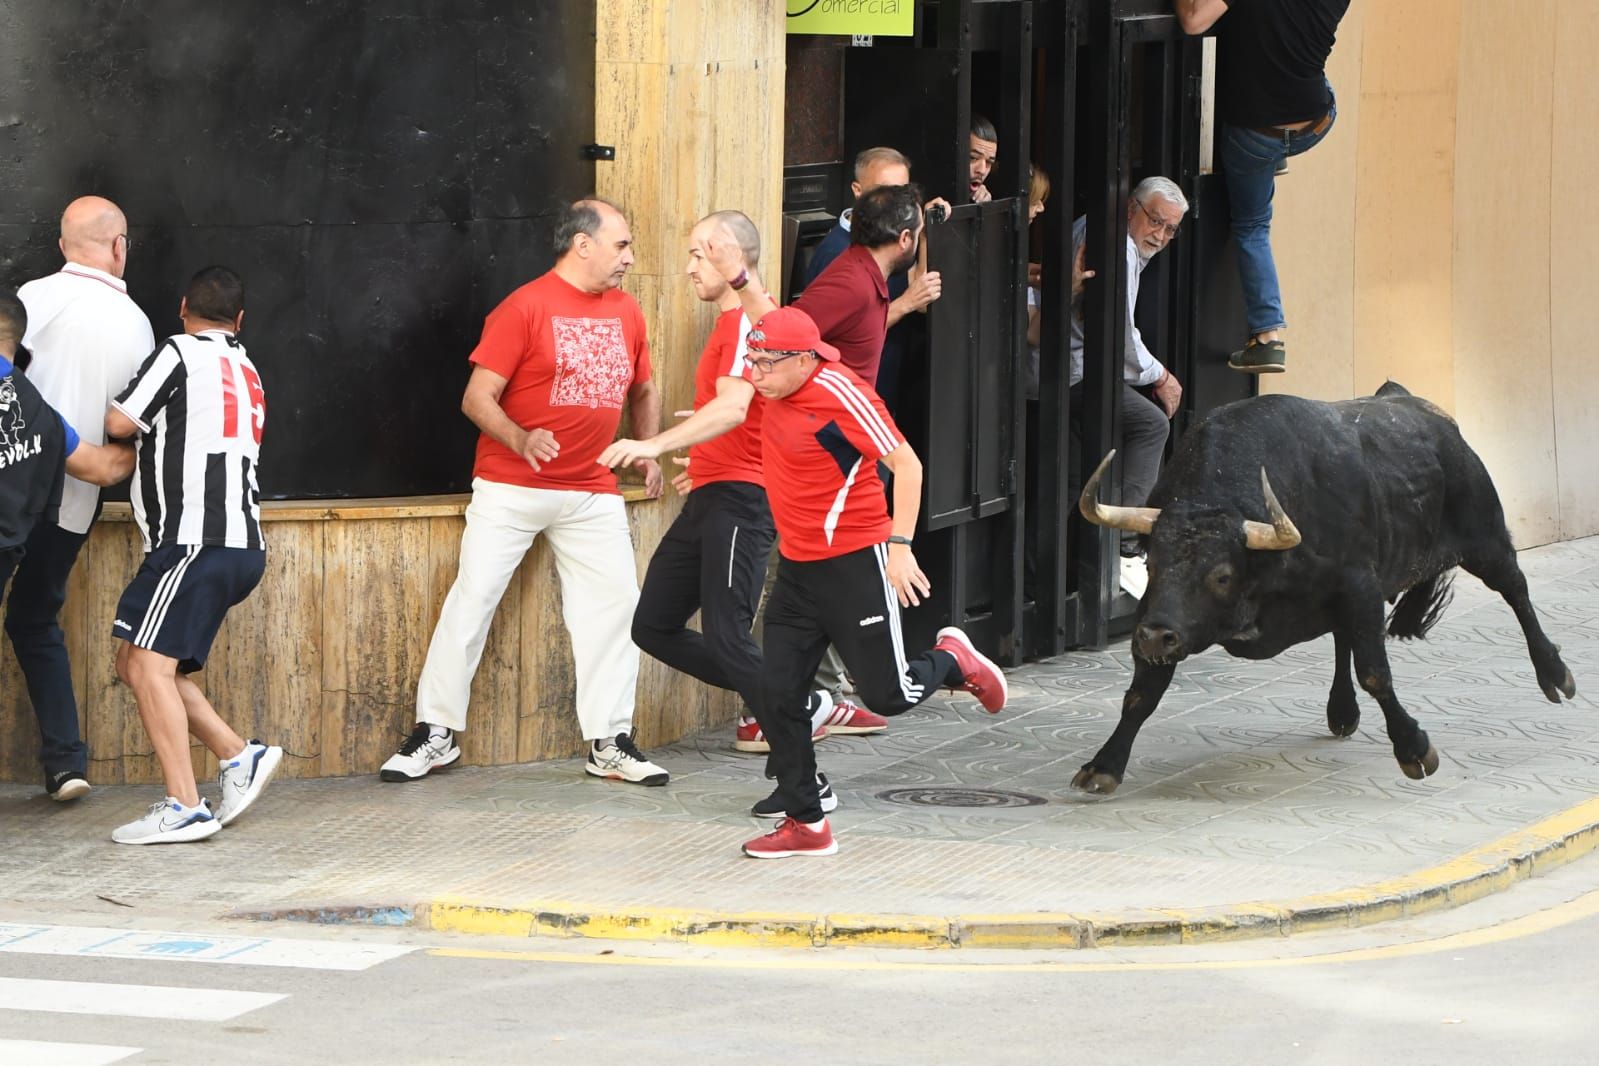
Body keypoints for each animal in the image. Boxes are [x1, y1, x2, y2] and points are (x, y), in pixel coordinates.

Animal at [1074, 381, 1573, 792]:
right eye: (1153, 563)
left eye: (1221, 574)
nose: (1156, 636)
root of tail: (1431, 416)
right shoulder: (1157, 611)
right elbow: (1142, 693)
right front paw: (1104, 764)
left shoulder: (1360, 587)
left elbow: (1375, 672)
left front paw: (1414, 749)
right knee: (1341, 638)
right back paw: (1342, 711)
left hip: (1485, 540)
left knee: (1516, 590)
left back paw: (1555, 674)